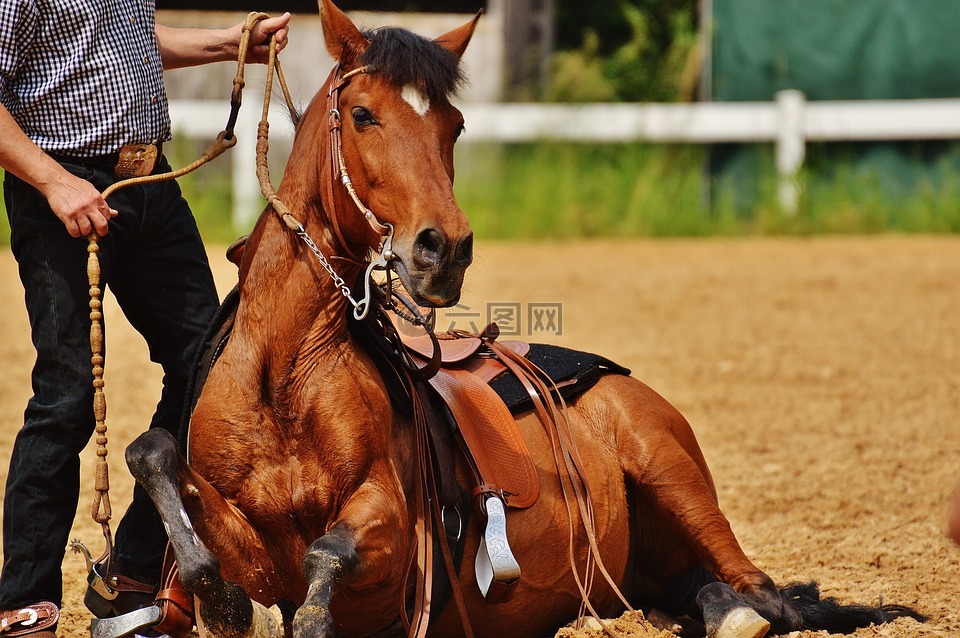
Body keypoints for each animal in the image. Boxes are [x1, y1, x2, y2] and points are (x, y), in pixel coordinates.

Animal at [124, 2, 924, 637]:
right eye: (362, 114)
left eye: (453, 124)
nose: (443, 248)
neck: (285, 376)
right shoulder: (242, 528)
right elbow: (156, 460)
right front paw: (218, 596)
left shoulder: (390, 530)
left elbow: (329, 556)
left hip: (673, 474)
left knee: (765, 594)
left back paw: (739, 613)